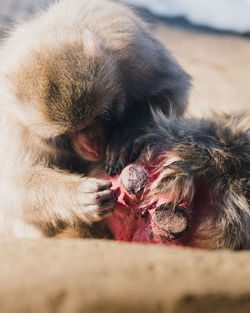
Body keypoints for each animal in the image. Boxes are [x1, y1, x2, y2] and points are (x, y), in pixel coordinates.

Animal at [0, 0, 189, 236]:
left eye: (101, 116)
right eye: (68, 134)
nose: (93, 145)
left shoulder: (132, 49)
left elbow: (172, 88)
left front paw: (126, 136)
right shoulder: (13, 126)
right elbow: (11, 185)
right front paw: (76, 195)